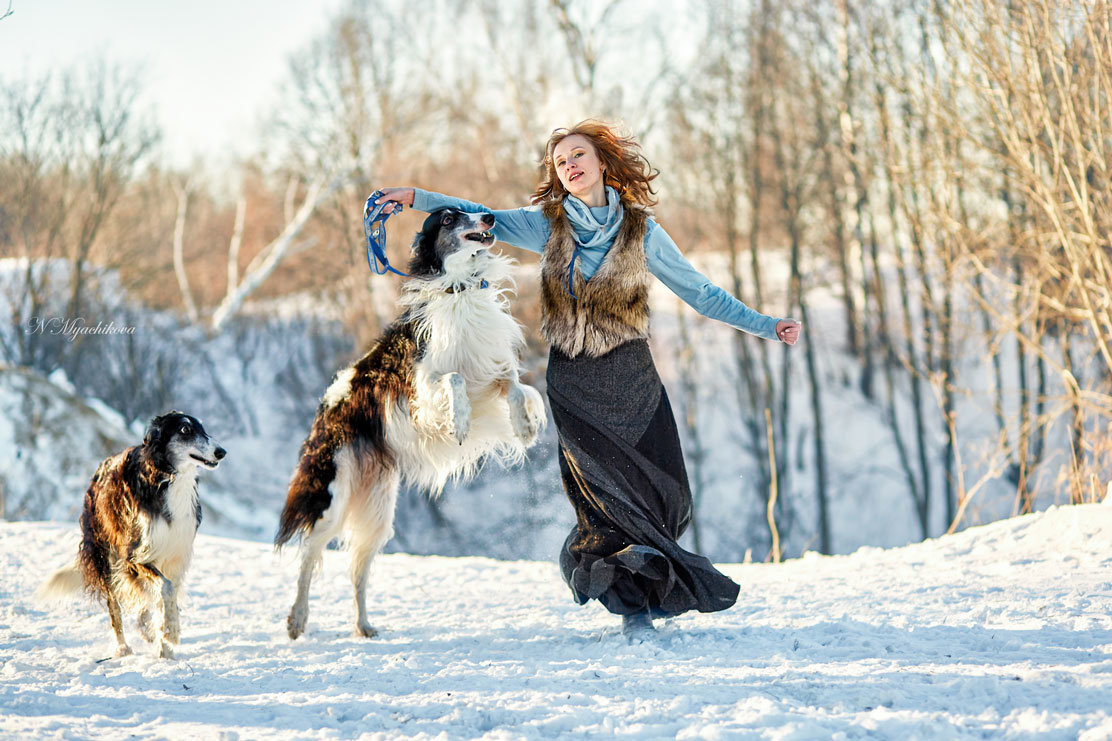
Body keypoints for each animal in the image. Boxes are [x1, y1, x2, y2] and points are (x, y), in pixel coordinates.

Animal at [36, 409, 224, 658]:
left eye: (203, 428)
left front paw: (165, 646)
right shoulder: (134, 557)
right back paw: (123, 647)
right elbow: (165, 588)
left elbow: (166, 594)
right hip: (106, 557)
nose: (221, 452)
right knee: (114, 606)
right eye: (185, 429)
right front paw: (171, 632)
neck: (167, 478)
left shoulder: (174, 556)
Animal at [273, 205, 542, 636]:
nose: (488, 216)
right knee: (309, 555)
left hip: (379, 509)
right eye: (449, 218)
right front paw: (459, 422)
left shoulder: (491, 371)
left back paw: (364, 626)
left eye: (470, 209)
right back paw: (297, 619)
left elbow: (516, 385)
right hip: (335, 493)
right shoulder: (423, 382)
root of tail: (323, 410)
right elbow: (455, 379)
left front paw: (525, 428)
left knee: (357, 571)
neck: (459, 289)